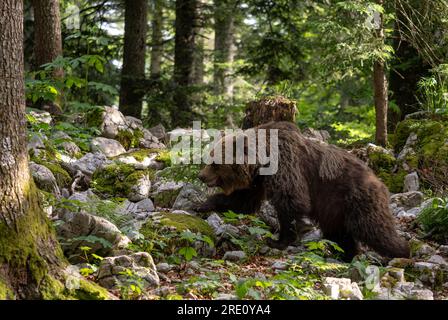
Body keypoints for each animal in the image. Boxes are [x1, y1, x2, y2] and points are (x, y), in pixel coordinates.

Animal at [196, 121, 410, 262]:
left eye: (214, 163)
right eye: (210, 158)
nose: (201, 176)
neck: (260, 161)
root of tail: (379, 181)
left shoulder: (285, 165)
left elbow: (290, 200)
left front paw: (279, 240)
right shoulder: (258, 181)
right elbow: (243, 201)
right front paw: (201, 204)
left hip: (357, 198)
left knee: (375, 229)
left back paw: (402, 253)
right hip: (335, 210)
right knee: (339, 234)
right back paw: (346, 254)